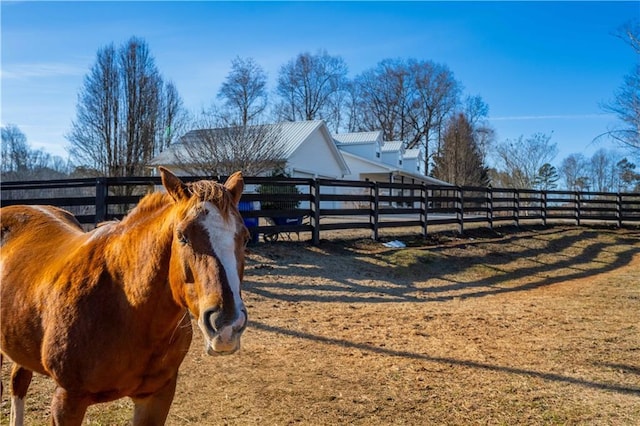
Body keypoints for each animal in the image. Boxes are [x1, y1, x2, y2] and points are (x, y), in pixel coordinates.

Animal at [0, 168, 250, 424]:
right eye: (182, 236)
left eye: (245, 238)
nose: (227, 325)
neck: (124, 306)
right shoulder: (67, 400)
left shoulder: (156, 397)